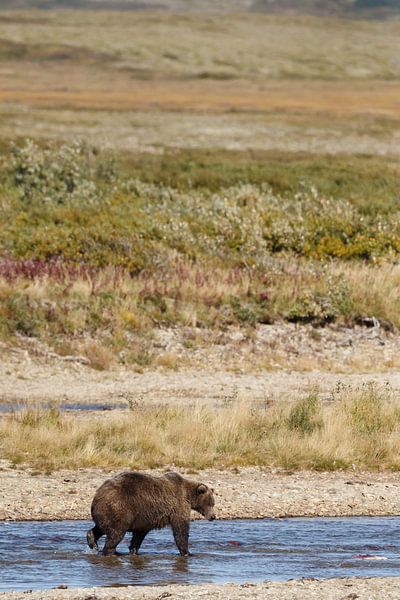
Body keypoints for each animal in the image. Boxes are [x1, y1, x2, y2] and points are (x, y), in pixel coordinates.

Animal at [85, 472, 216, 556]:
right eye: (211, 503)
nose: (213, 517)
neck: (189, 496)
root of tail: (98, 494)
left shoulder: (145, 517)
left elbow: (139, 534)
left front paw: (133, 550)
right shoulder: (178, 506)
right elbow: (180, 529)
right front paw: (187, 552)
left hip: (105, 513)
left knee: (101, 528)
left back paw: (93, 543)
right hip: (120, 508)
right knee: (116, 533)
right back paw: (111, 551)